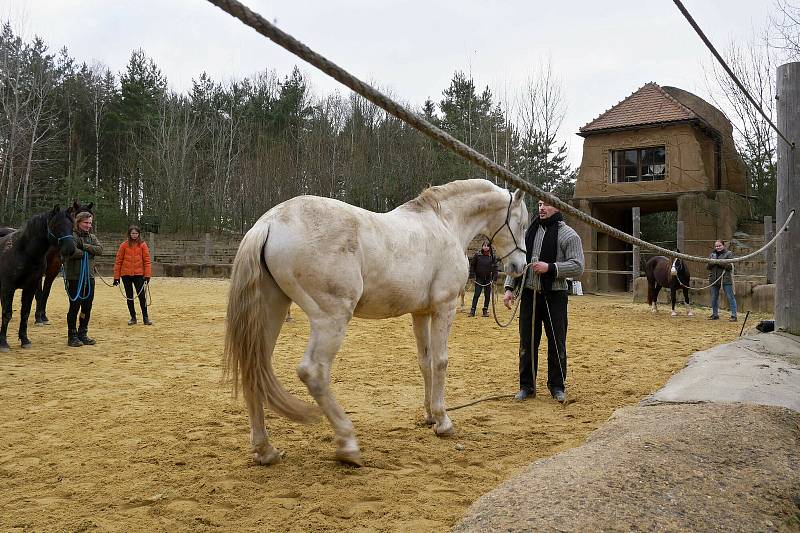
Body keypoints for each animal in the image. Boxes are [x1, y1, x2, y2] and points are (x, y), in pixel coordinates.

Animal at [0, 206, 77, 352]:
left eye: (72, 226)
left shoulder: (30, 287)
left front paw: (25, 340)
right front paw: (3, 344)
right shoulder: (8, 288)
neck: (23, 251)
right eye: (56, 225)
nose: (70, 249)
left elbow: (25, 312)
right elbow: (7, 313)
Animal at [222, 177, 528, 464]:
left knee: (255, 369)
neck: (444, 223)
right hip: (331, 318)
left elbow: (425, 362)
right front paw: (443, 421)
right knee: (313, 372)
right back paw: (347, 444)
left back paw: (265, 450)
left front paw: (429, 415)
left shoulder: (420, 313)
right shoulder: (444, 307)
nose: (519, 267)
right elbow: (441, 362)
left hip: (270, 311)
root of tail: (269, 223)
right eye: (523, 224)